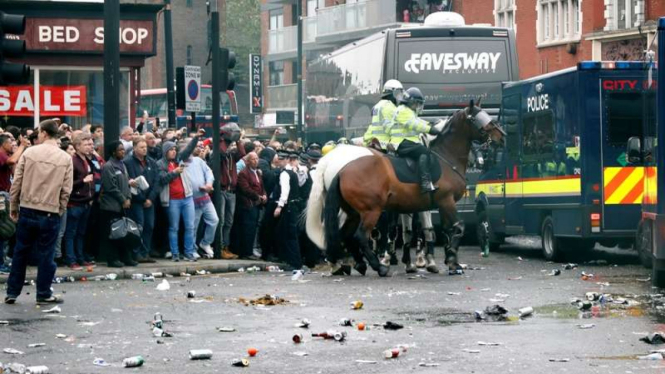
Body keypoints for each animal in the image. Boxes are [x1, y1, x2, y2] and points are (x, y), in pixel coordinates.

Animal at [304, 101, 504, 276]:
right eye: (479, 118)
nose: (502, 136)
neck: (445, 158)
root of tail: (342, 169)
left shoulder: (437, 205)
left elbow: (444, 230)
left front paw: (448, 261)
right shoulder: (445, 201)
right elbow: (456, 228)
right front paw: (448, 261)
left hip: (353, 212)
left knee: (343, 235)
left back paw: (354, 264)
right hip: (370, 211)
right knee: (359, 236)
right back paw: (377, 267)